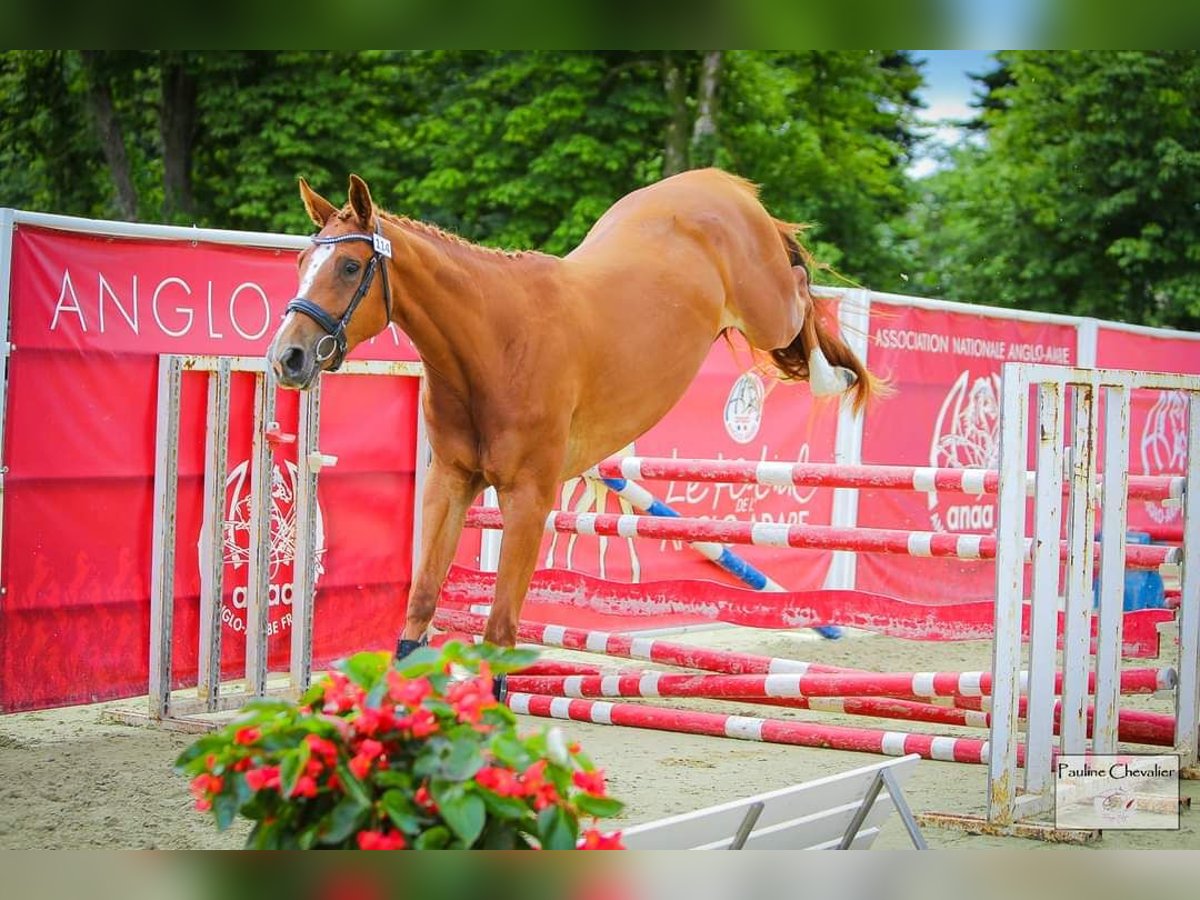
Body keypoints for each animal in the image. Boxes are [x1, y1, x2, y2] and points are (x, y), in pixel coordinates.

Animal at [267, 169, 878, 676]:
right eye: (299, 266)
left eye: (349, 267)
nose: (287, 358)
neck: (493, 343)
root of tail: (719, 182)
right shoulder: (451, 483)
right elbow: (418, 611)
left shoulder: (528, 498)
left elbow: (500, 631)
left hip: (766, 311)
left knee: (800, 292)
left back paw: (832, 377)